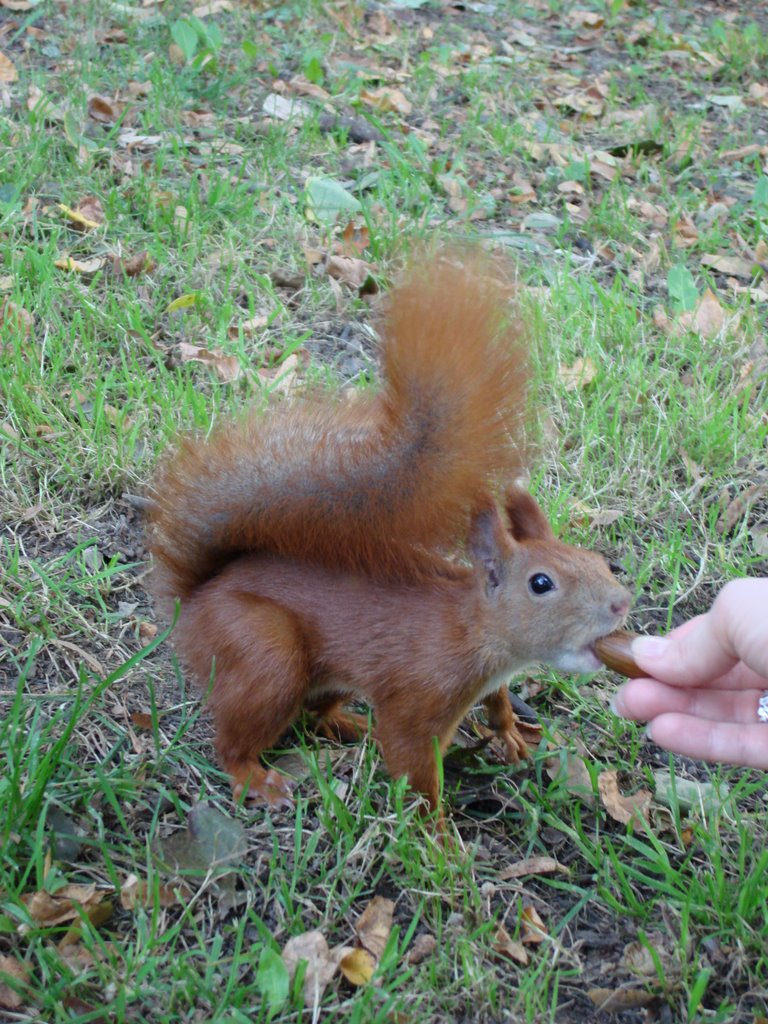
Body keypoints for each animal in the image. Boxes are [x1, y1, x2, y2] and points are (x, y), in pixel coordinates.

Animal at [150, 251, 630, 819]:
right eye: (541, 583)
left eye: (598, 561)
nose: (621, 604)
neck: (471, 629)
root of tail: (197, 598)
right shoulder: (420, 694)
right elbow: (411, 761)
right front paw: (436, 835)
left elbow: (496, 702)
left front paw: (509, 729)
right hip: (263, 651)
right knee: (234, 738)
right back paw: (256, 777)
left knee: (315, 713)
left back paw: (349, 723)